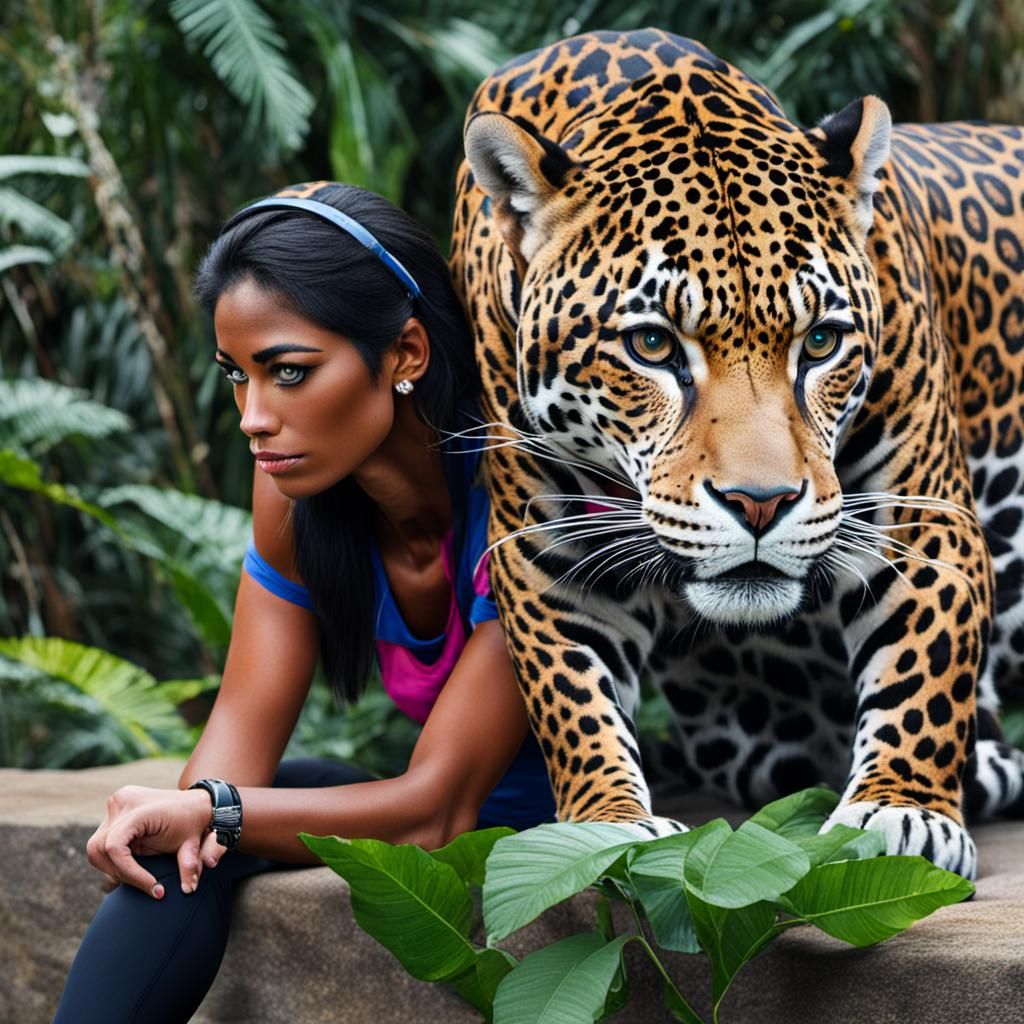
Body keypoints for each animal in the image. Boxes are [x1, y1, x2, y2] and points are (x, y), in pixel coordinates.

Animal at [449, 28, 1024, 879]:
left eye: (820, 342)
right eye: (652, 345)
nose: (762, 504)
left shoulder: (921, 515)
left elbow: (925, 667)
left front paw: (903, 812)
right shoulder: (547, 543)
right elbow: (571, 695)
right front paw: (606, 820)